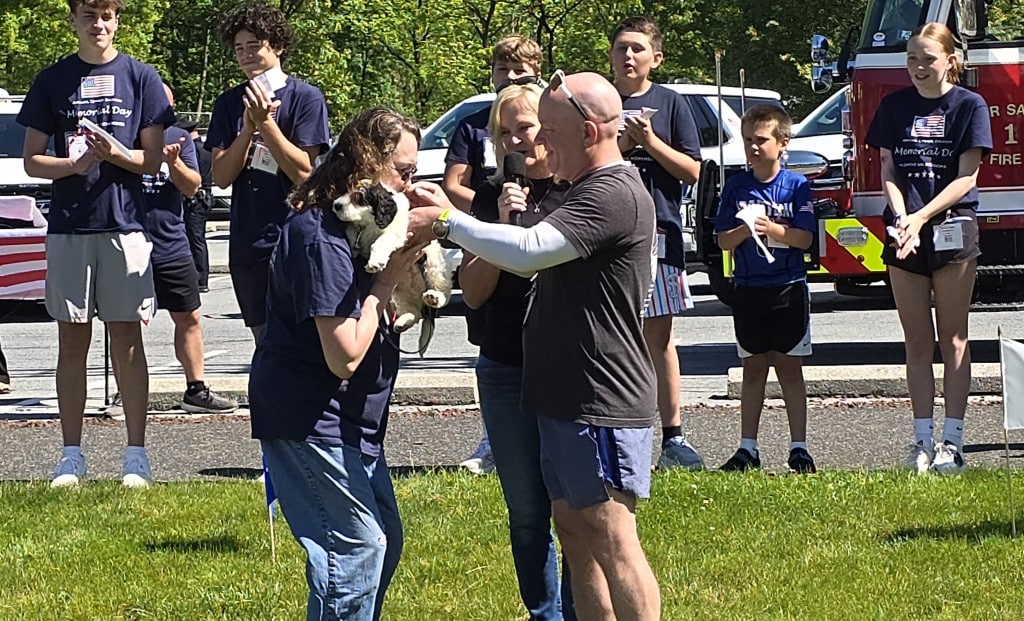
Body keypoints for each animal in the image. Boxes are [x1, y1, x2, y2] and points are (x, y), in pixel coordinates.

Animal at [333, 182, 453, 351]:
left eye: (359, 196)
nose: (336, 205)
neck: (370, 223)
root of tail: (420, 299)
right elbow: (352, 231)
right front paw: (351, 245)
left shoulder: (396, 233)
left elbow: (379, 242)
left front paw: (375, 263)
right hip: (399, 294)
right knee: (414, 312)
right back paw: (402, 322)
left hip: (435, 268)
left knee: (443, 294)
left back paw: (434, 298)